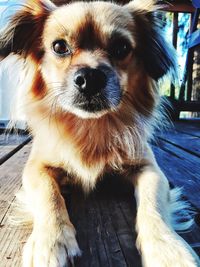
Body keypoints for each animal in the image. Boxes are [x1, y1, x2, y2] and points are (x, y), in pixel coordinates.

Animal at [0, 0, 199, 266]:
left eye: (122, 48)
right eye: (59, 47)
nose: (90, 77)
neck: (91, 128)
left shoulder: (150, 169)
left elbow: (152, 203)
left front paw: (168, 249)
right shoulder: (36, 168)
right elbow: (49, 195)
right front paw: (51, 242)